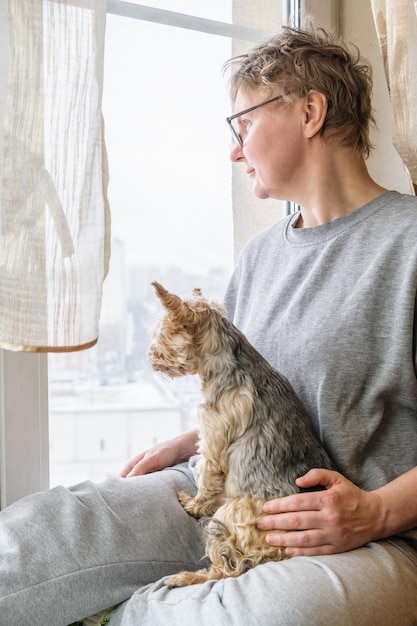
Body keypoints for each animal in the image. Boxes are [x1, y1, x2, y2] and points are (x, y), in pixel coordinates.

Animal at [148, 282, 334, 584]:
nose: (150, 355)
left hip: (231, 512)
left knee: (223, 569)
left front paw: (193, 505)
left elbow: (208, 482)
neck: (231, 362)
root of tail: (277, 553)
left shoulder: (213, 441)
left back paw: (186, 577)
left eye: (160, 336)